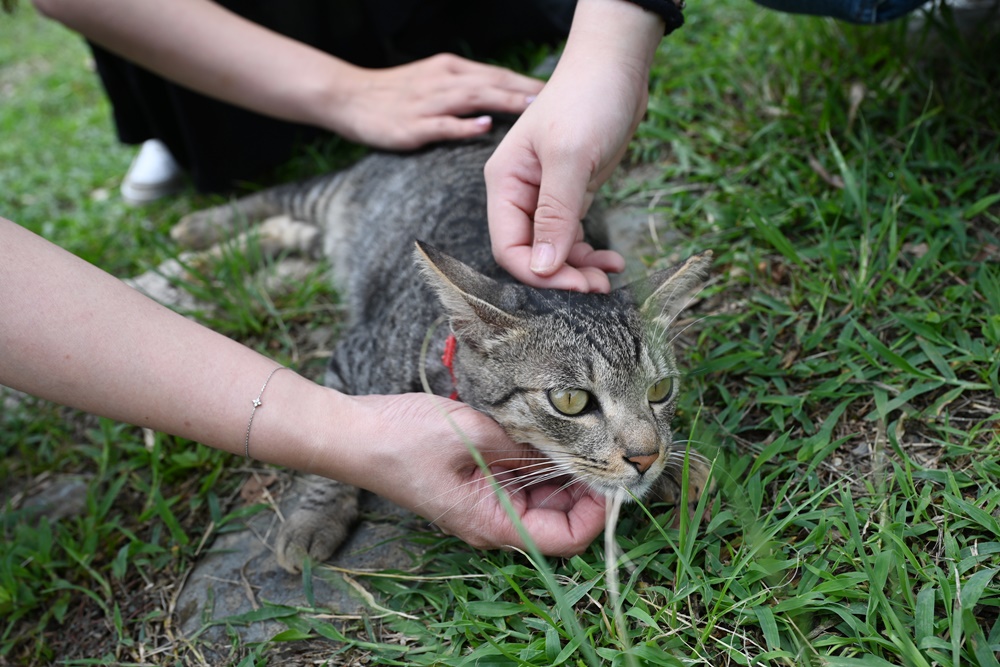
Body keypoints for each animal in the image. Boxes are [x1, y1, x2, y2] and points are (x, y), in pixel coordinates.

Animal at [176, 122, 716, 572]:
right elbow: (324, 443)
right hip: (333, 195)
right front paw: (315, 517)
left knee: (288, 230)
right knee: (277, 201)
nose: (644, 457)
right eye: (571, 401)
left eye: (660, 391)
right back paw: (198, 240)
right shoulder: (352, 358)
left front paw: (672, 468)